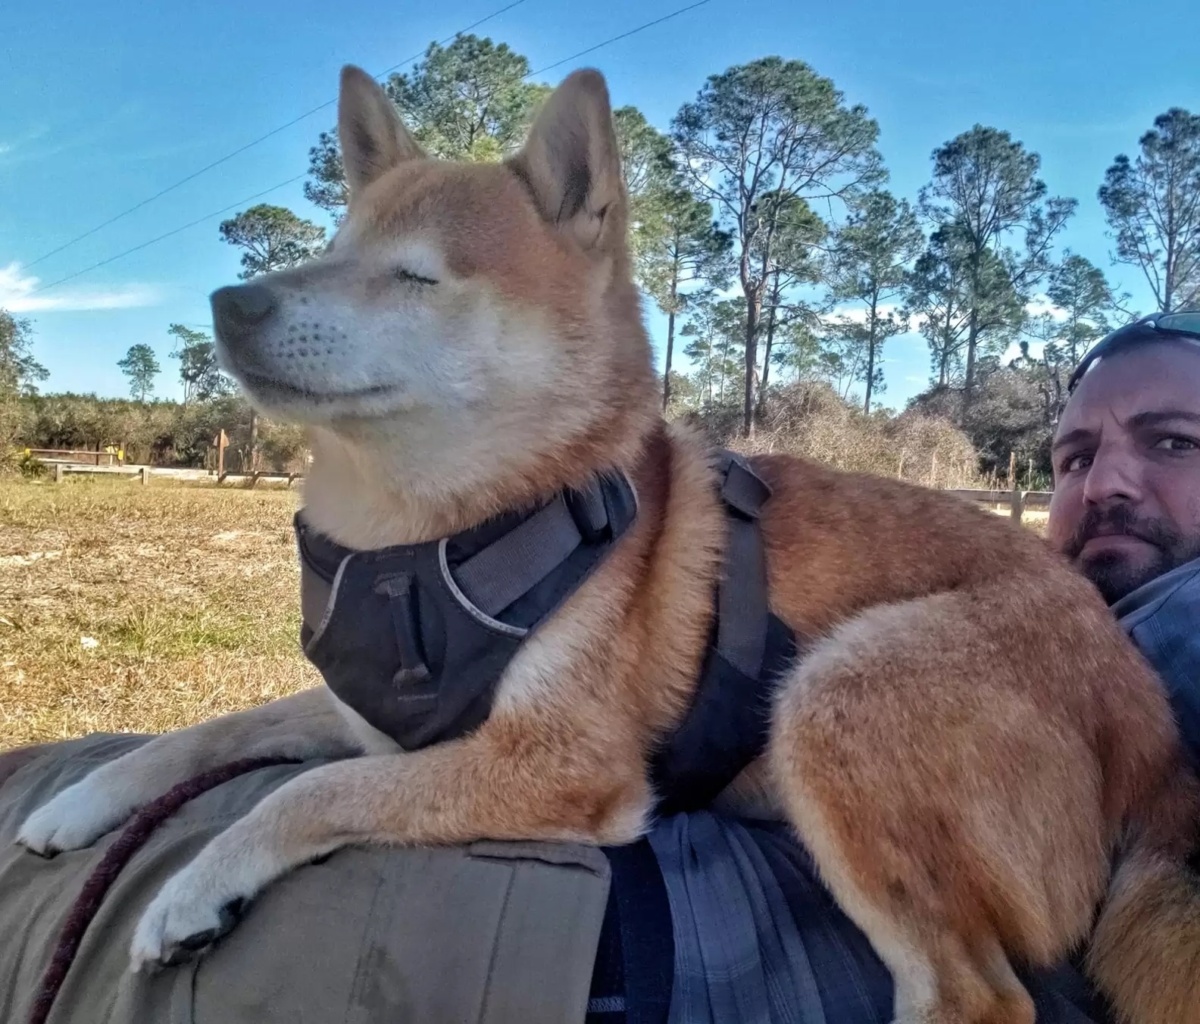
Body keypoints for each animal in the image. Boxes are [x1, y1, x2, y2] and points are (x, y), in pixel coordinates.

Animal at [16, 67, 1200, 1017]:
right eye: (332, 252)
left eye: (416, 276)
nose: (231, 302)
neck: (417, 544)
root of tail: (1153, 737)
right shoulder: (364, 716)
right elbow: (211, 734)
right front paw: (81, 802)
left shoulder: (559, 767)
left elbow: (308, 792)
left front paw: (194, 882)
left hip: (838, 687)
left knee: (978, 999)